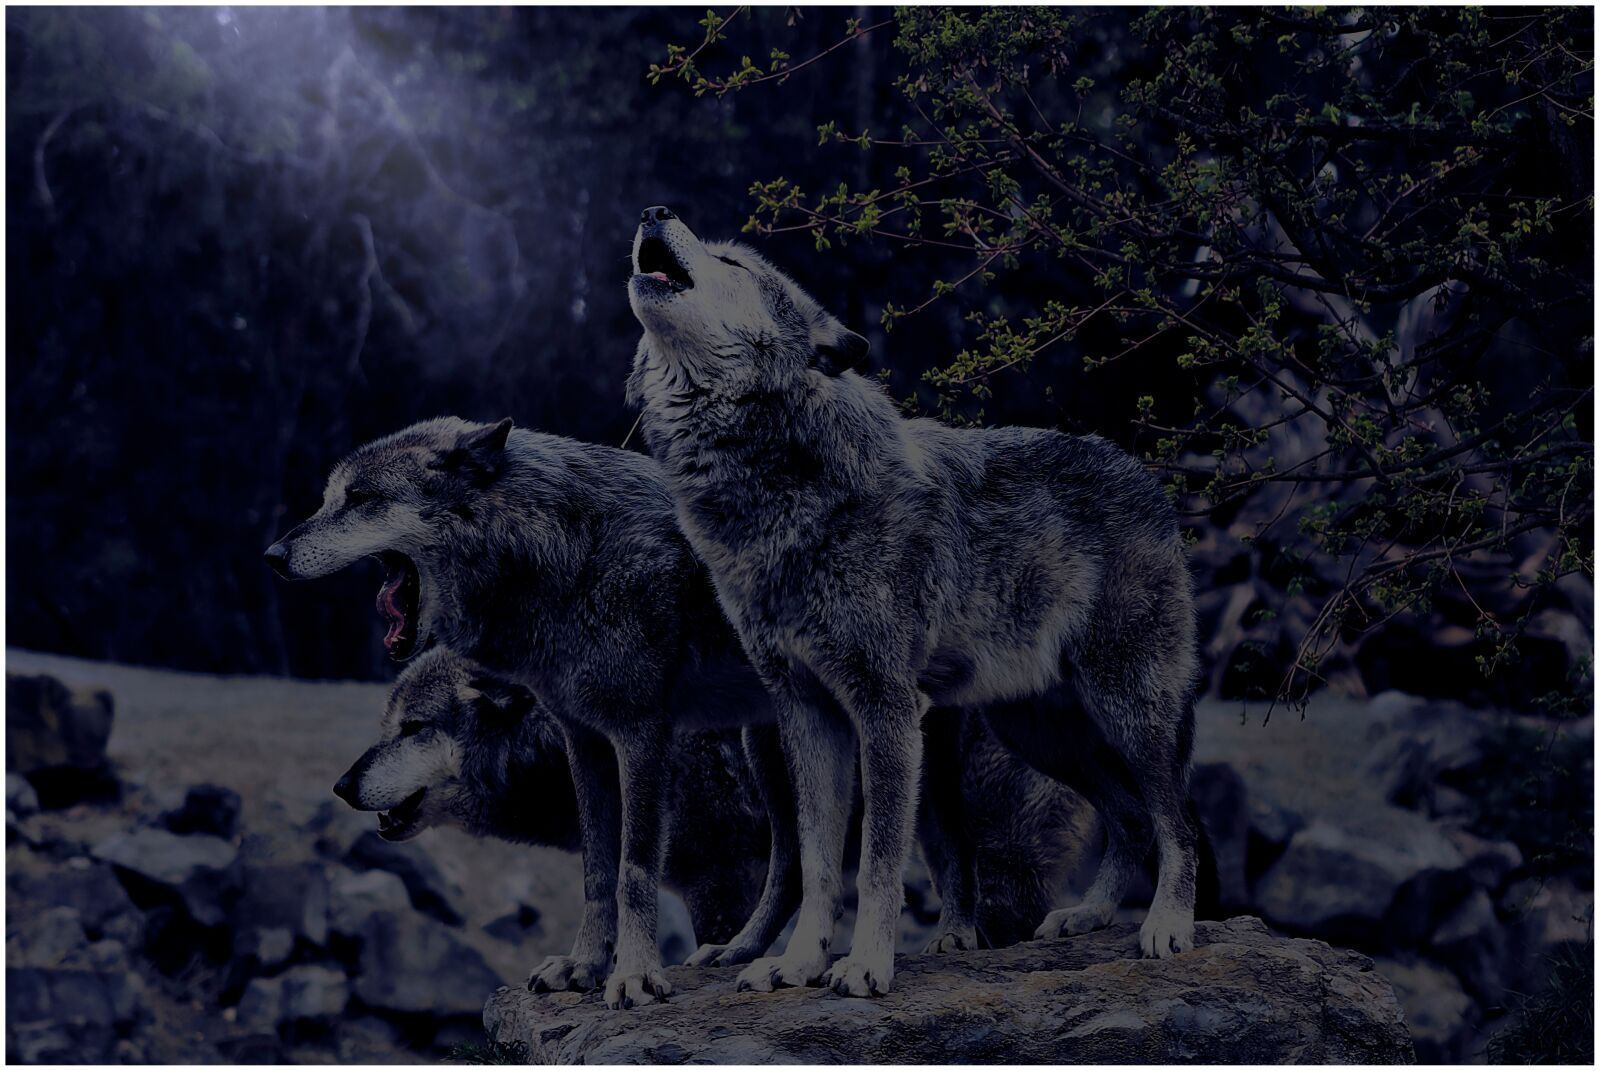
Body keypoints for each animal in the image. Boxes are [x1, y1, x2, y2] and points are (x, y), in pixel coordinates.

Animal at [265, 417, 1094, 1007]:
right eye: (328, 496)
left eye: (360, 500)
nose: (272, 555)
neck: (564, 557)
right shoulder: (589, 745)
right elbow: (598, 874)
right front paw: (583, 966)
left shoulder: (647, 749)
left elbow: (632, 872)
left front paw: (633, 979)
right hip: (773, 746)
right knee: (809, 864)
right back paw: (753, 955)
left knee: (958, 848)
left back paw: (971, 934)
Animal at [626, 206, 1202, 998]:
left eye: (732, 263)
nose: (653, 211)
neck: (773, 485)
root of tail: (1149, 479)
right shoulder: (809, 713)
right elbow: (818, 864)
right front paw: (799, 964)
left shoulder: (886, 708)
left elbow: (875, 863)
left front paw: (867, 964)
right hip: (1040, 731)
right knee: (1132, 819)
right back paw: (1085, 916)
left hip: (1128, 708)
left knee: (1176, 819)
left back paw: (1168, 925)